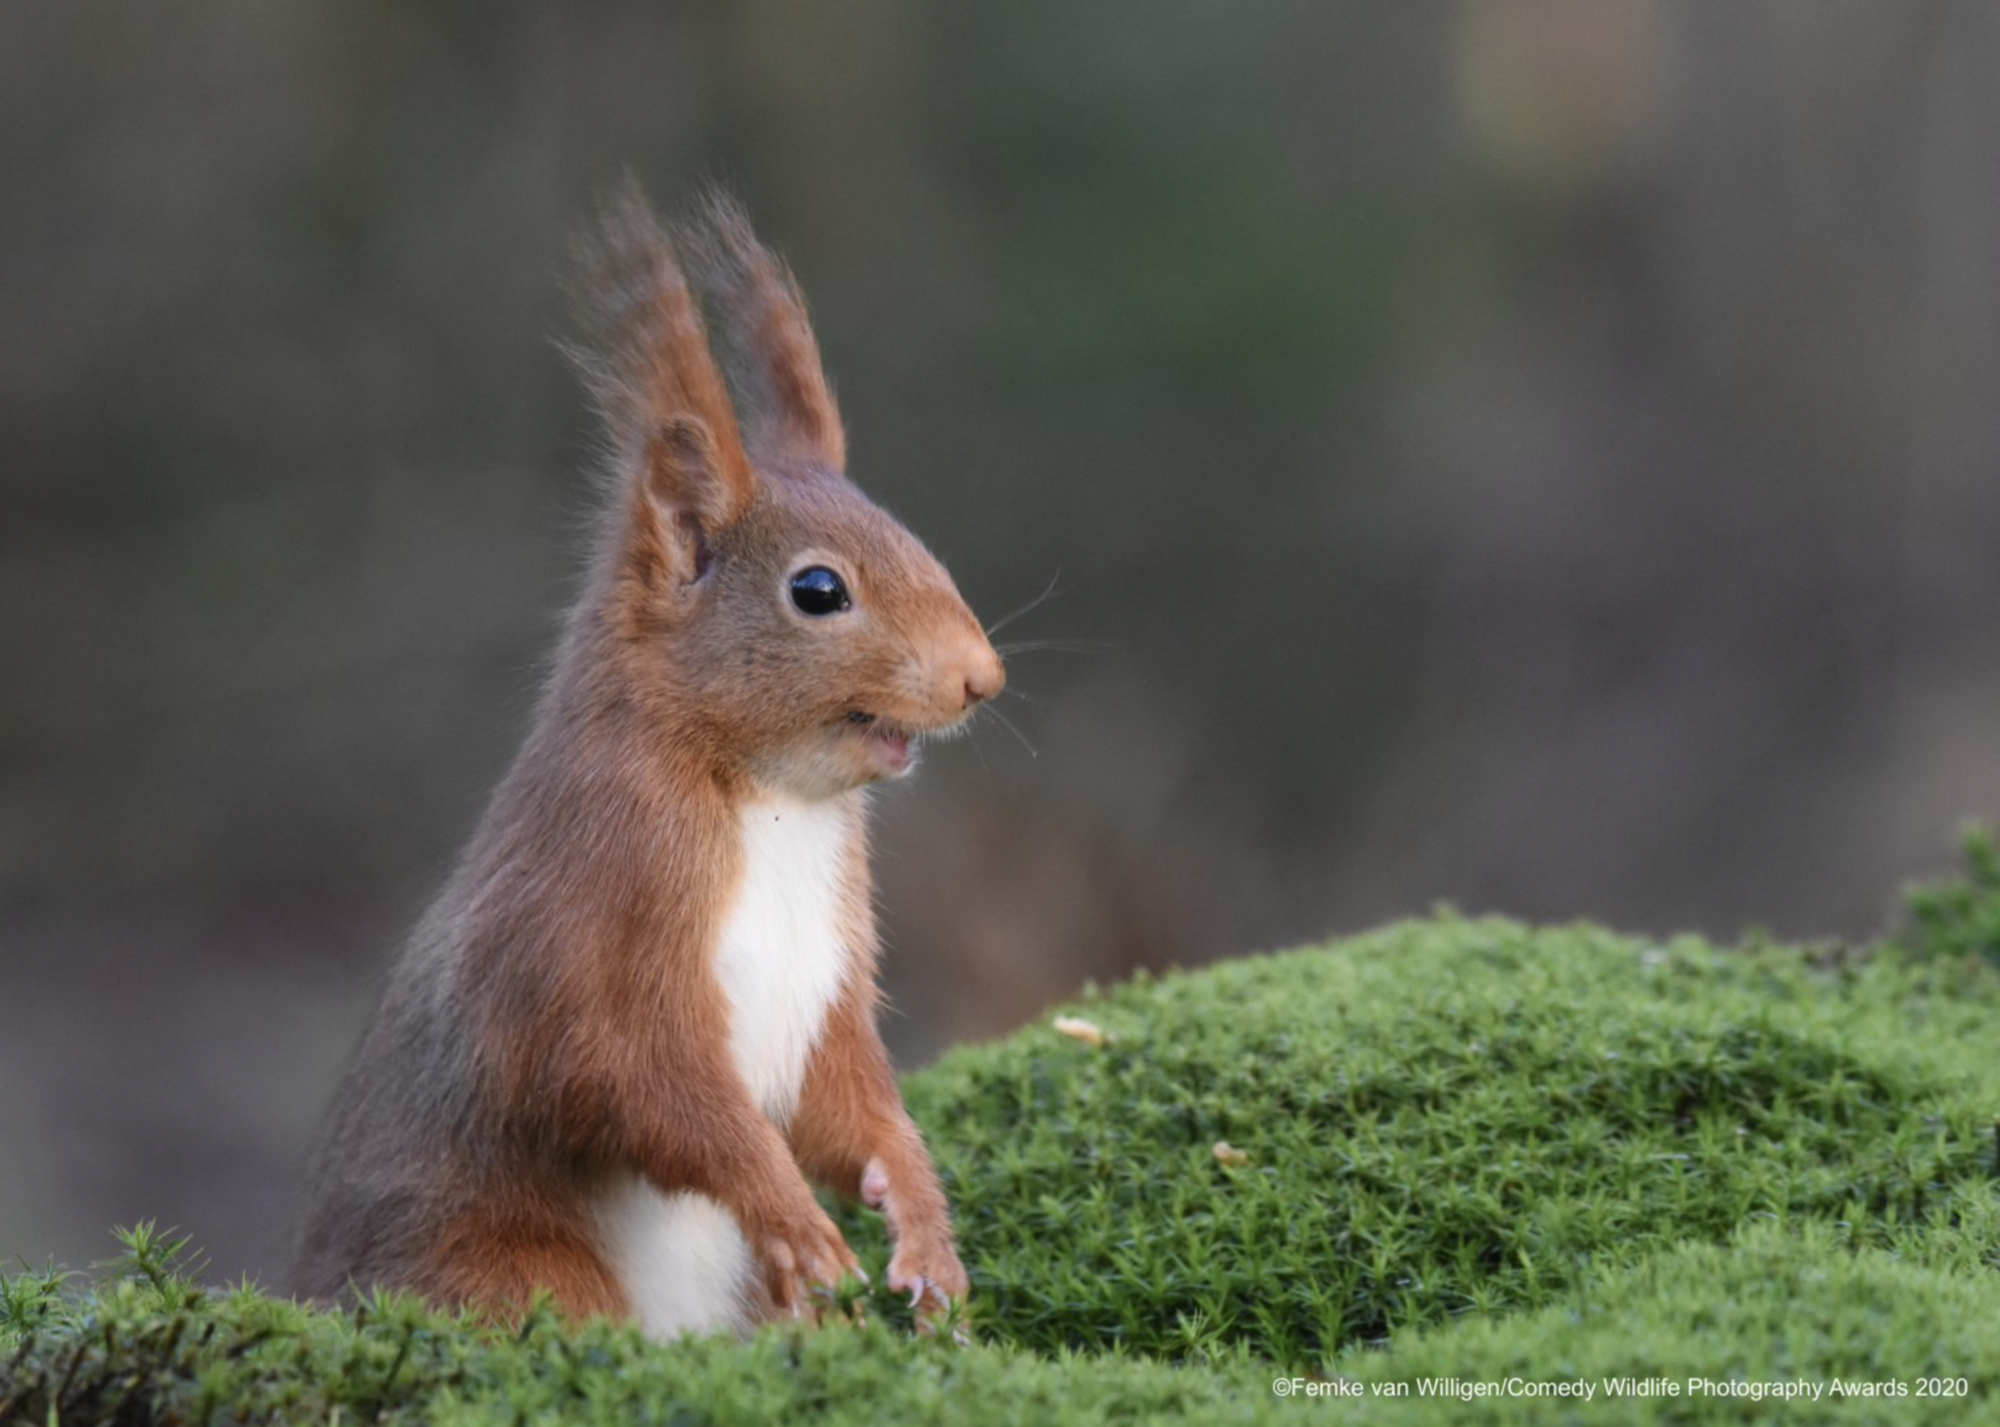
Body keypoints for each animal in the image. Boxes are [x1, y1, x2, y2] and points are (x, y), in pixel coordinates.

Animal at [294, 185, 1000, 1335]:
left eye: (912, 534)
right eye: (818, 590)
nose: (982, 676)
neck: (772, 800)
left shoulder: (827, 982)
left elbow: (852, 1102)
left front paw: (924, 1228)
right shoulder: (591, 916)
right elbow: (628, 1077)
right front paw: (796, 1216)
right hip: (508, 1269)